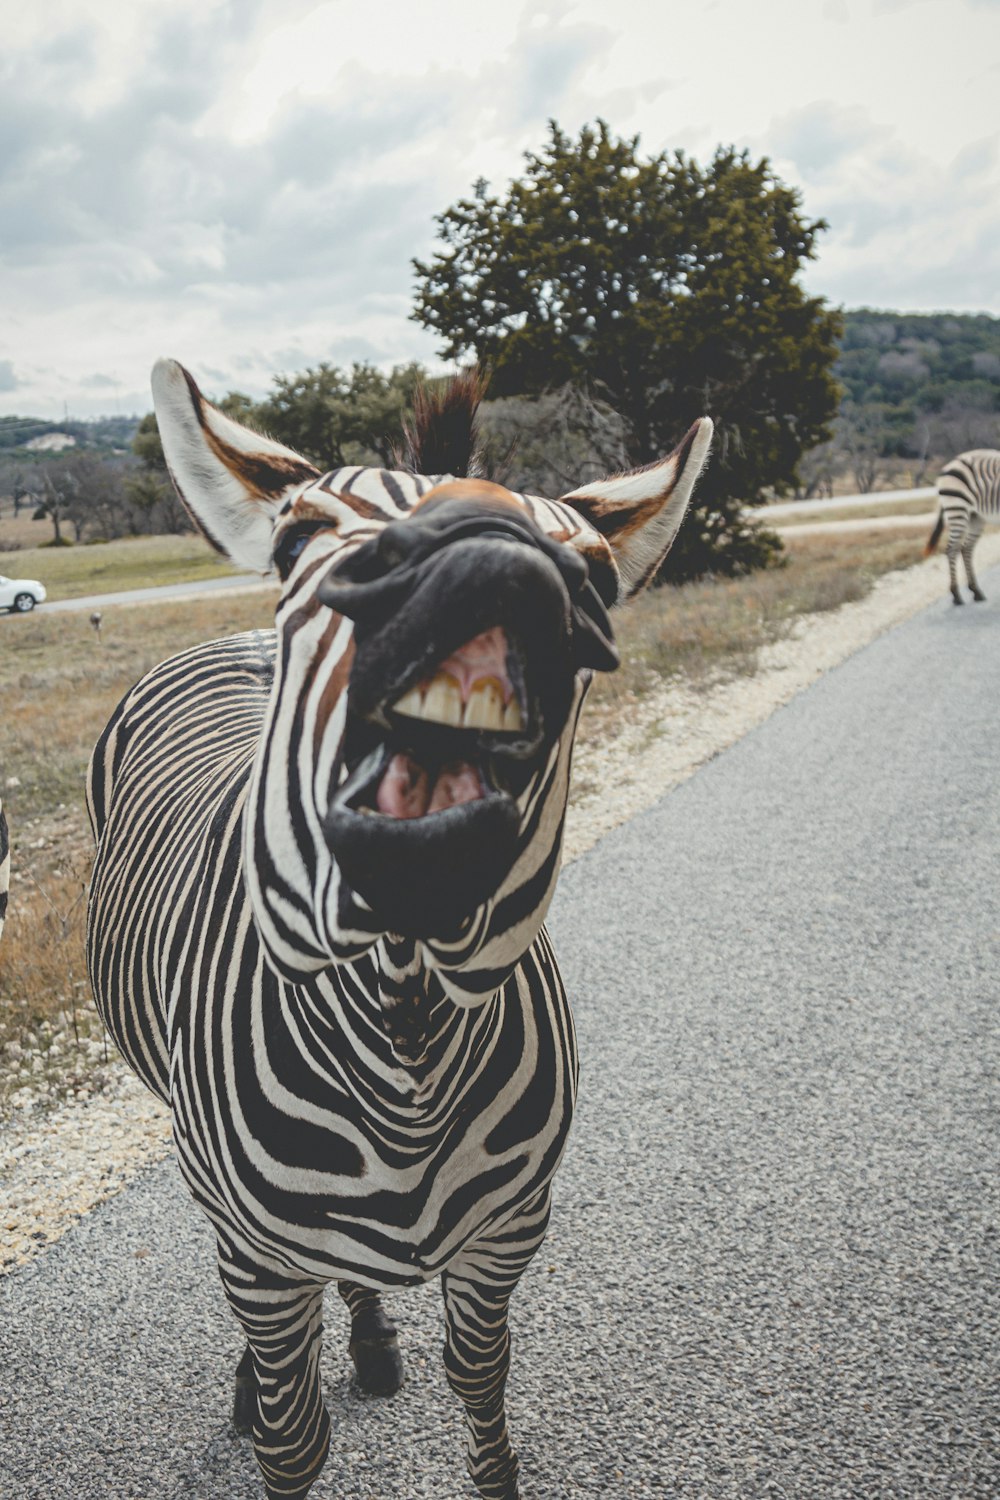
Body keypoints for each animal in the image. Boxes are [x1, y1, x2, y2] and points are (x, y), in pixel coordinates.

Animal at [86, 363, 710, 1500]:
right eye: (298, 540)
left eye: (595, 574)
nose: (485, 551)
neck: (404, 1047)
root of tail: (235, 642)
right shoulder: (259, 1256)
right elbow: (293, 1439)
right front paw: (269, 1411)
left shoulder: (509, 1236)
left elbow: (480, 1381)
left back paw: (371, 1347)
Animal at [923, 450, 1000, 603]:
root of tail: (951, 463)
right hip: (957, 509)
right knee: (952, 549)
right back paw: (956, 595)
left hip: (975, 516)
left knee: (966, 548)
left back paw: (976, 591)